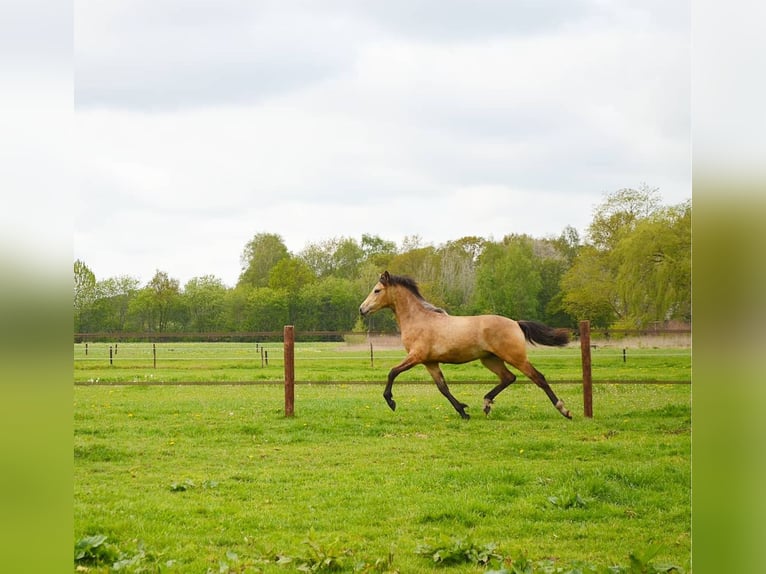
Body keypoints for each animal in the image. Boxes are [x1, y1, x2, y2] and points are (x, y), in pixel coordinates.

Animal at [359, 271, 572, 420]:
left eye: (377, 290)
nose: (362, 309)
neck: (419, 319)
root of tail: (516, 323)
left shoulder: (416, 356)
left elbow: (392, 372)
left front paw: (391, 401)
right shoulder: (430, 362)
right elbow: (443, 388)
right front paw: (463, 411)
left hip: (515, 357)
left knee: (538, 378)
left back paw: (564, 411)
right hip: (490, 360)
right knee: (508, 378)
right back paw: (486, 404)